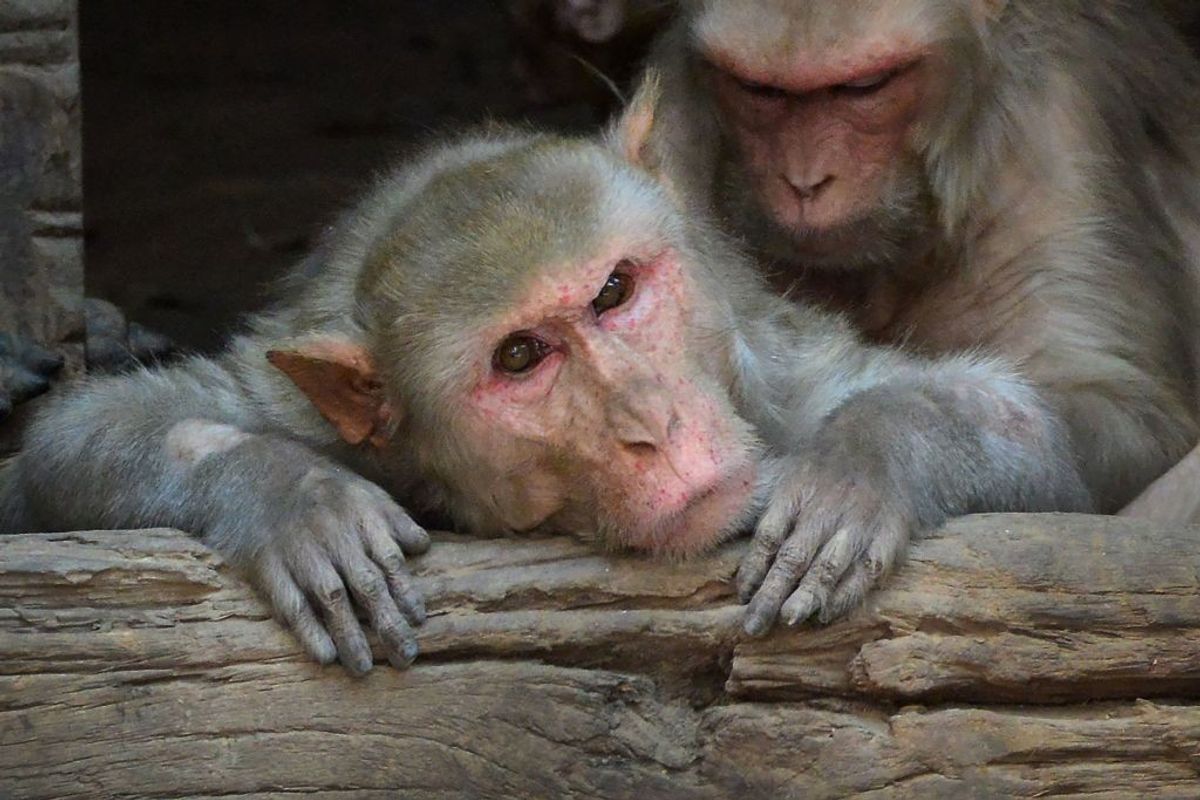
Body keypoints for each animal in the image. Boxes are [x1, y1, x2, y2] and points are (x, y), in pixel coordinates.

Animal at [0, 81, 1090, 672]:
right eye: (521, 355)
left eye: (614, 291)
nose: (650, 420)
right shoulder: (318, 411)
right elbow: (73, 438)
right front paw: (297, 501)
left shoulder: (766, 376)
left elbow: (1033, 428)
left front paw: (852, 471)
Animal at [634, 0, 1200, 632]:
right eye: (761, 91)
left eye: (865, 87)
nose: (805, 181)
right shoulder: (673, 107)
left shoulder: (1062, 124)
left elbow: (1127, 415)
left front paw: (876, 446)